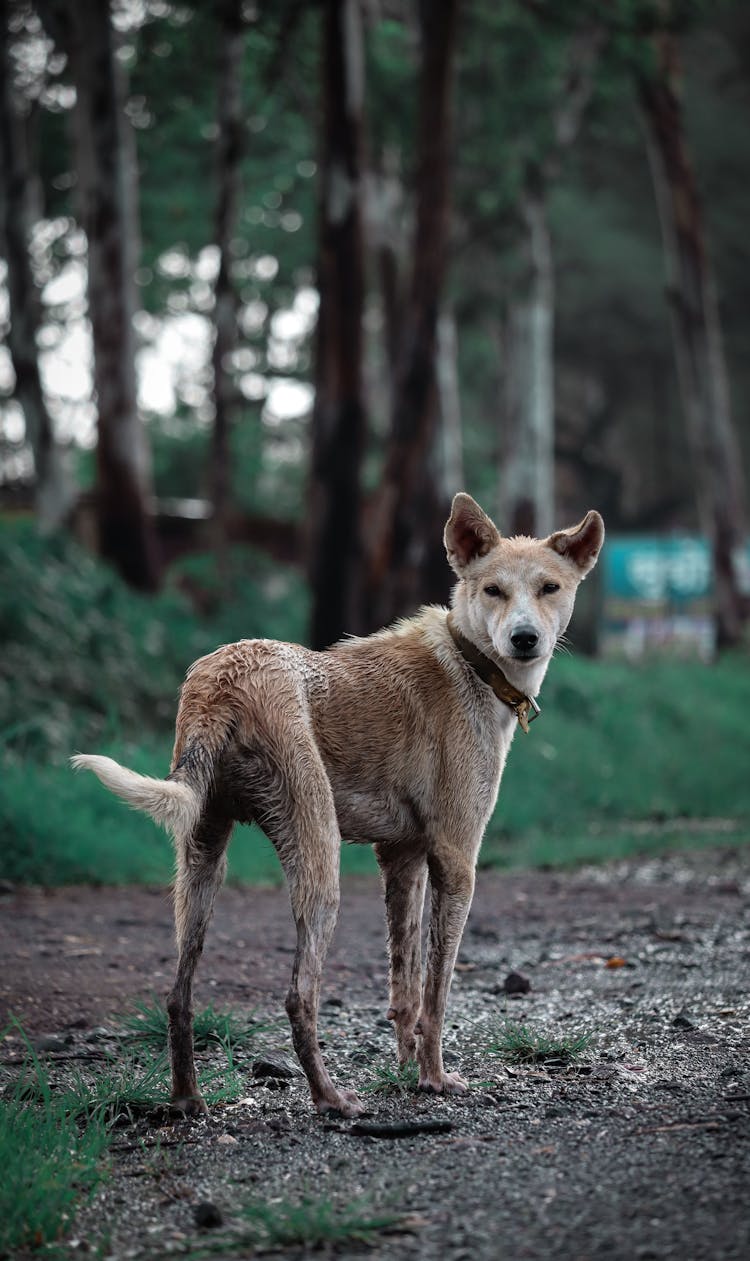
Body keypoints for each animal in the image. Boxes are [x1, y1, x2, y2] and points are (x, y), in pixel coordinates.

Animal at [73, 496, 605, 1119]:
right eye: (493, 590)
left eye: (549, 587)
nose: (524, 638)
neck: (471, 661)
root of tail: (221, 684)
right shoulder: (455, 860)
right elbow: (437, 993)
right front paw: (434, 1079)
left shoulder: (402, 859)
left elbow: (405, 988)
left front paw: (405, 1073)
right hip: (319, 863)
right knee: (298, 997)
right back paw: (329, 1098)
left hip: (201, 867)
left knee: (179, 997)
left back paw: (187, 1099)